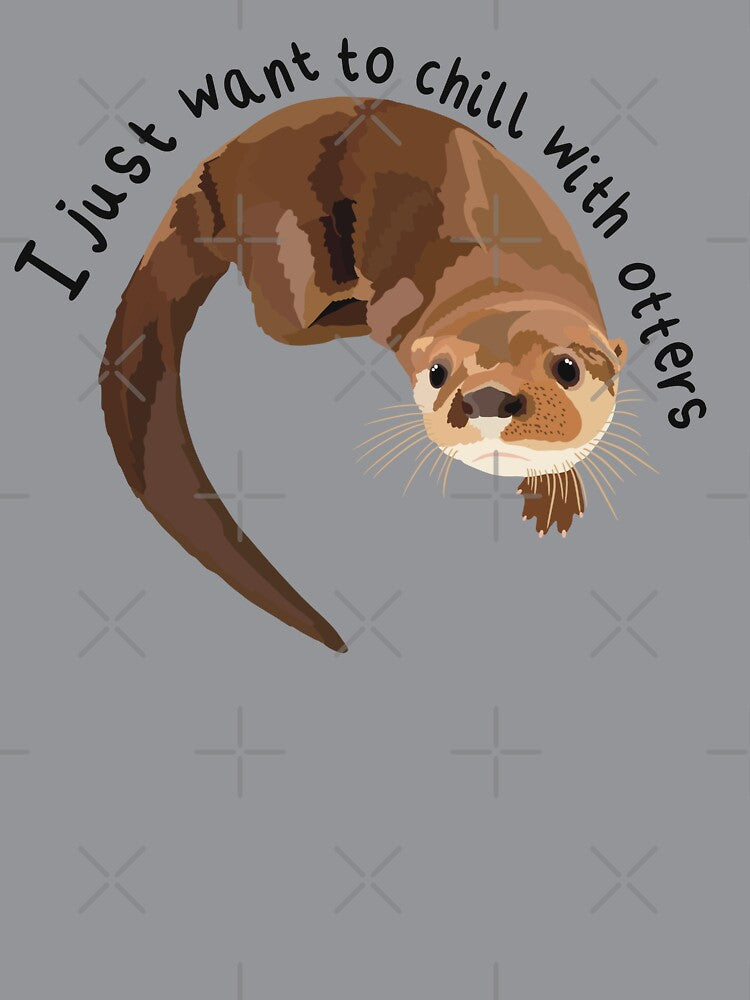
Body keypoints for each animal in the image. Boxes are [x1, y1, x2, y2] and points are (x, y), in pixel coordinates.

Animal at [101, 97, 644, 652]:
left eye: (568, 367)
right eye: (437, 373)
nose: (489, 398)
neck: (501, 270)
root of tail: (217, 165)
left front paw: (554, 490)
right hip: (283, 231)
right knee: (278, 317)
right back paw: (350, 310)